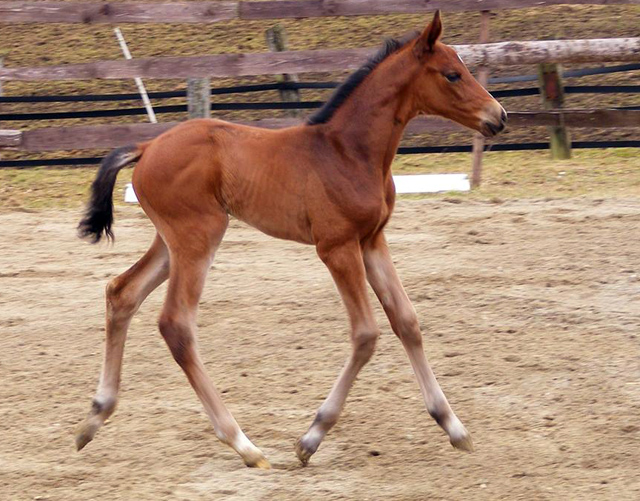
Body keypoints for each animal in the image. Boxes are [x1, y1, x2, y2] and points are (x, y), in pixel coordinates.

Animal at [75, 9, 504, 466]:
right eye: (452, 74)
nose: (499, 116)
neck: (348, 151)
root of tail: (147, 145)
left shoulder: (372, 241)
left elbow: (407, 321)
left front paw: (453, 425)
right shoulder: (336, 248)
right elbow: (366, 334)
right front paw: (311, 436)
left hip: (171, 242)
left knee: (122, 293)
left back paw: (95, 417)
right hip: (199, 237)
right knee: (176, 324)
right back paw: (243, 443)